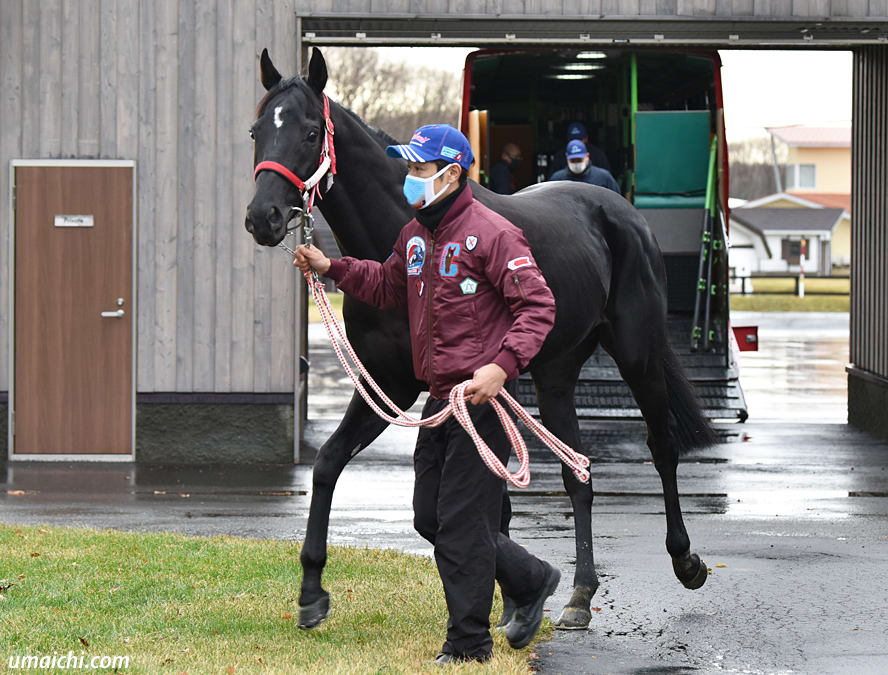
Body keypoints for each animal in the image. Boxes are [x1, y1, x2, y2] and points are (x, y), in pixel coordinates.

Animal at [245, 48, 716, 632]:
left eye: (310, 132)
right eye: (256, 131)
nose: (261, 217)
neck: (406, 234)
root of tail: (623, 213)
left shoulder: (429, 389)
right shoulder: (387, 383)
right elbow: (330, 463)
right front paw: (312, 590)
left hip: (639, 354)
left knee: (662, 446)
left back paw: (685, 559)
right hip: (555, 372)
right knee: (577, 470)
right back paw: (581, 593)